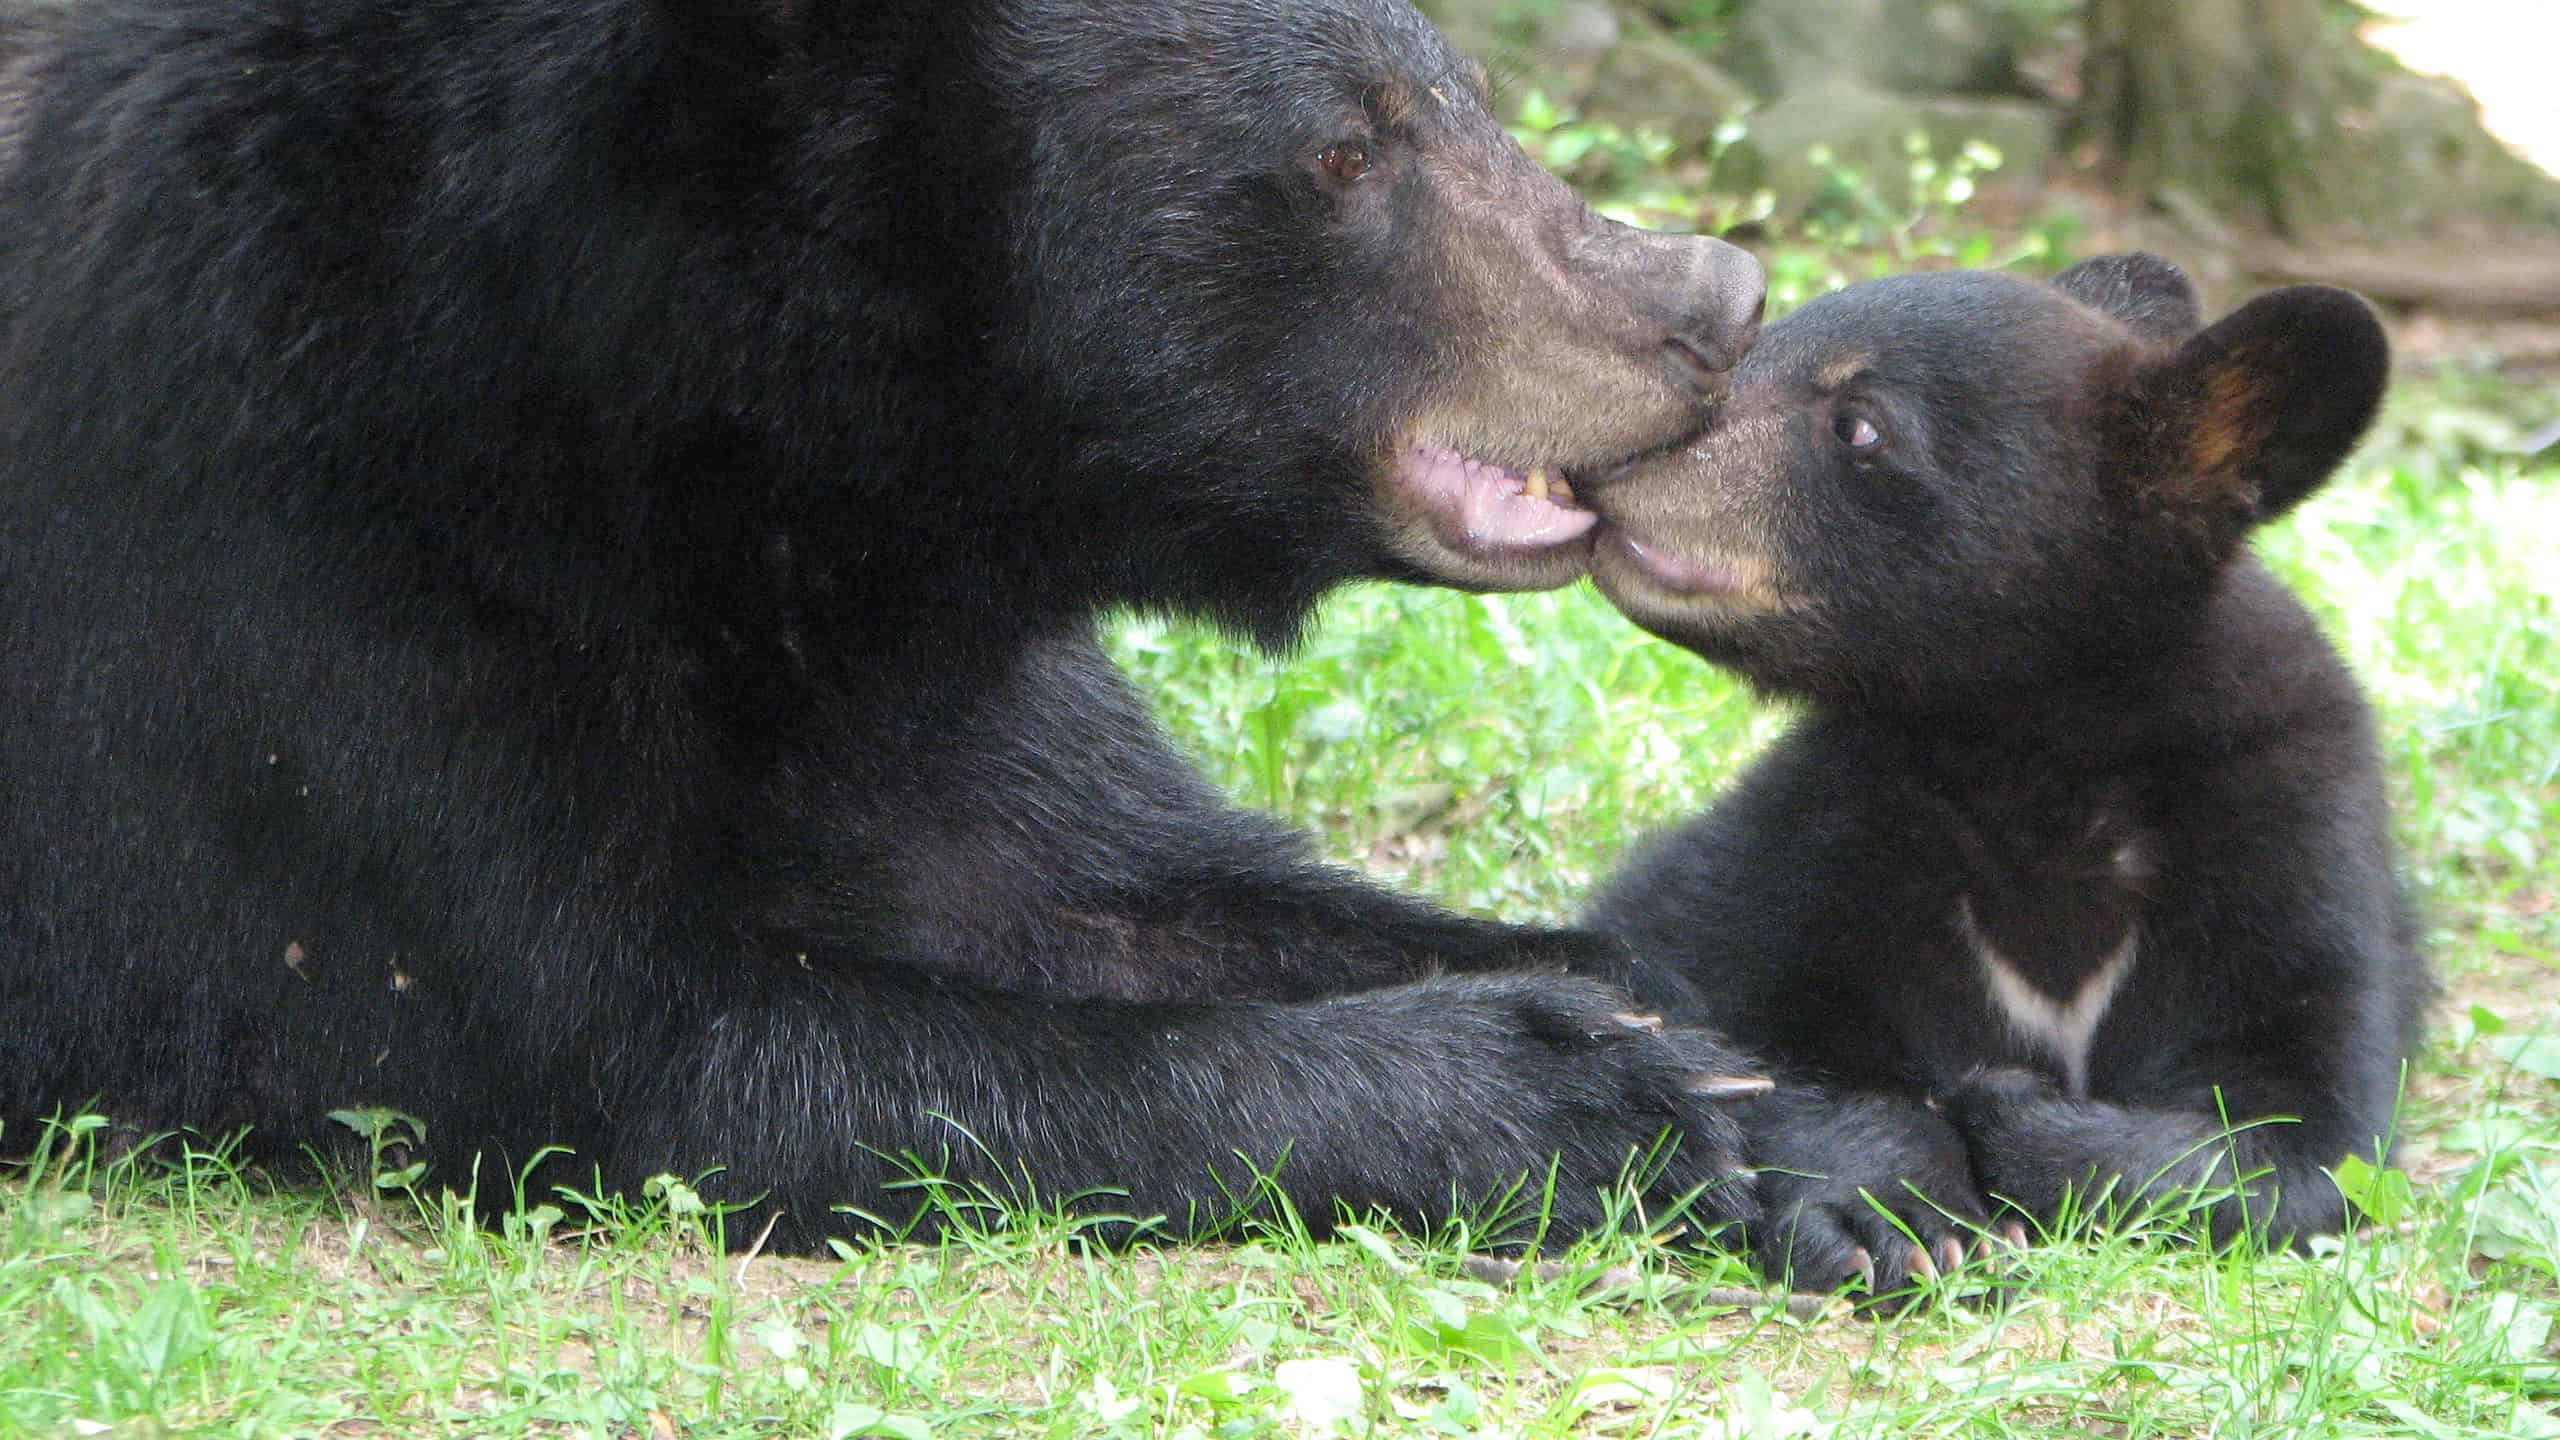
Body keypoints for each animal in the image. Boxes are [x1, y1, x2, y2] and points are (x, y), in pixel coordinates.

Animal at [0, 0, 1771, 1252]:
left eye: (1453, 86)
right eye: (1346, 151)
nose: (1713, 301)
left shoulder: (925, 661)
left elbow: (1119, 882)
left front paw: (1694, 1030)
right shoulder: (304, 585)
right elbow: (634, 1048)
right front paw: (1581, 1093)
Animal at [1580, 254, 2428, 1297]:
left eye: (1859, 424)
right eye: (1767, 340)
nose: (1604, 455)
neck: (2033, 754)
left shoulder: (2290, 823)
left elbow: (2307, 1131)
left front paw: (2008, 1110)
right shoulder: (1840, 817)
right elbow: (1726, 992)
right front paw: (1889, 1209)